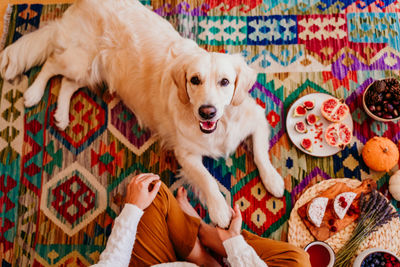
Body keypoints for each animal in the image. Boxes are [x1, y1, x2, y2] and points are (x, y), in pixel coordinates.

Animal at [0, 0, 284, 228]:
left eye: (225, 82)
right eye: (195, 80)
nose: (207, 111)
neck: (221, 124)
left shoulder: (256, 118)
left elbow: (261, 154)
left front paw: (273, 180)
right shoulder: (186, 153)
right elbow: (207, 179)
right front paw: (220, 211)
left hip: (90, 70)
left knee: (67, 84)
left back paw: (60, 115)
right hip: (79, 60)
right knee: (51, 64)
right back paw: (33, 93)